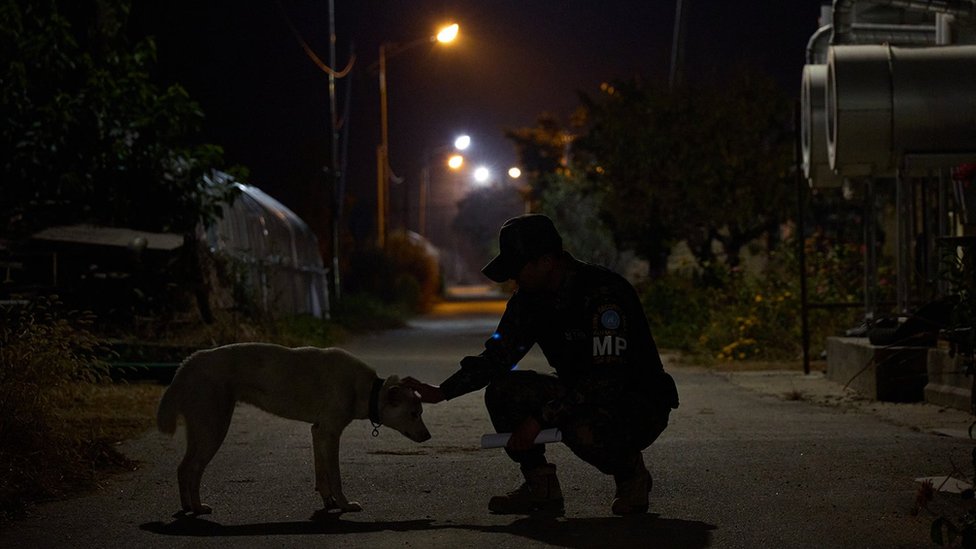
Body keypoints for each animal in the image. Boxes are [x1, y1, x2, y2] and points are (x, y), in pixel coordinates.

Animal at [157, 342, 430, 512]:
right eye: (414, 413)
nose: (428, 436)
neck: (368, 390)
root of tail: (188, 361)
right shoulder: (330, 433)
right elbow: (335, 475)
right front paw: (344, 505)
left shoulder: (318, 431)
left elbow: (322, 473)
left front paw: (329, 502)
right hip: (214, 429)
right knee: (192, 469)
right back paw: (196, 507)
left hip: (202, 430)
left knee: (183, 468)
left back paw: (188, 507)